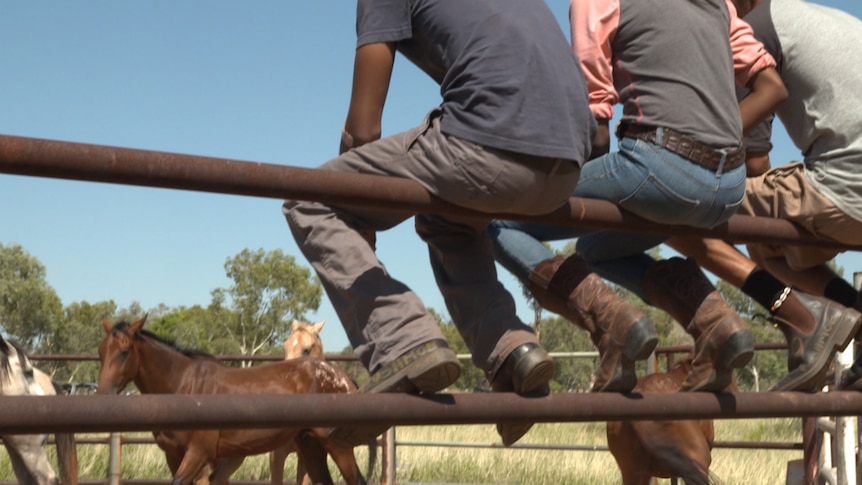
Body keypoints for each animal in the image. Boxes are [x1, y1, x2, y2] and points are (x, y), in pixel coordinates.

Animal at [96, 314, 366, 484]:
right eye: (101, 352)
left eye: (125, 351)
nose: (103, 396)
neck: (185, 386)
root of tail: (343, 377)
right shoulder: (173, 455)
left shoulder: (198, 455)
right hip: (310, 446)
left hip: (338, 447)